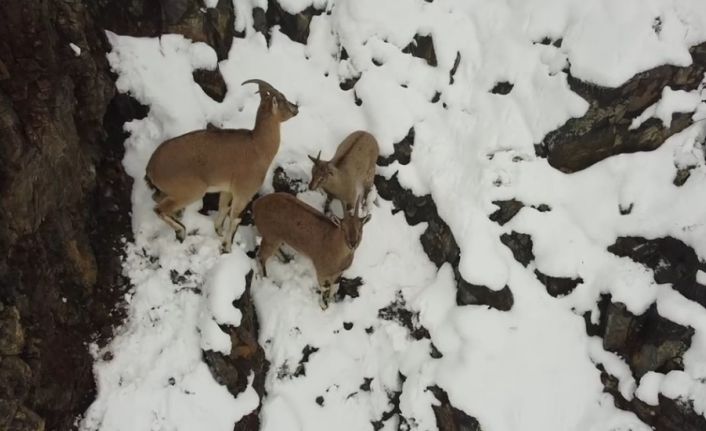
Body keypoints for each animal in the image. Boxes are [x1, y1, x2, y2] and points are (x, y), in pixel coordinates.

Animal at [143, 80, 296, 253]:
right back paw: (181, 231)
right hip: (191, 191)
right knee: (159, 209)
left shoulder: (227, 190)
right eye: (283, 99)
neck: (258, 146)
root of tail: (151, 168)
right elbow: (234, 218)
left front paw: (219, 232)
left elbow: (223, 208)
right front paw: (226, 247)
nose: (296, 108)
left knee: (157, 200)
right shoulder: (243, 193)